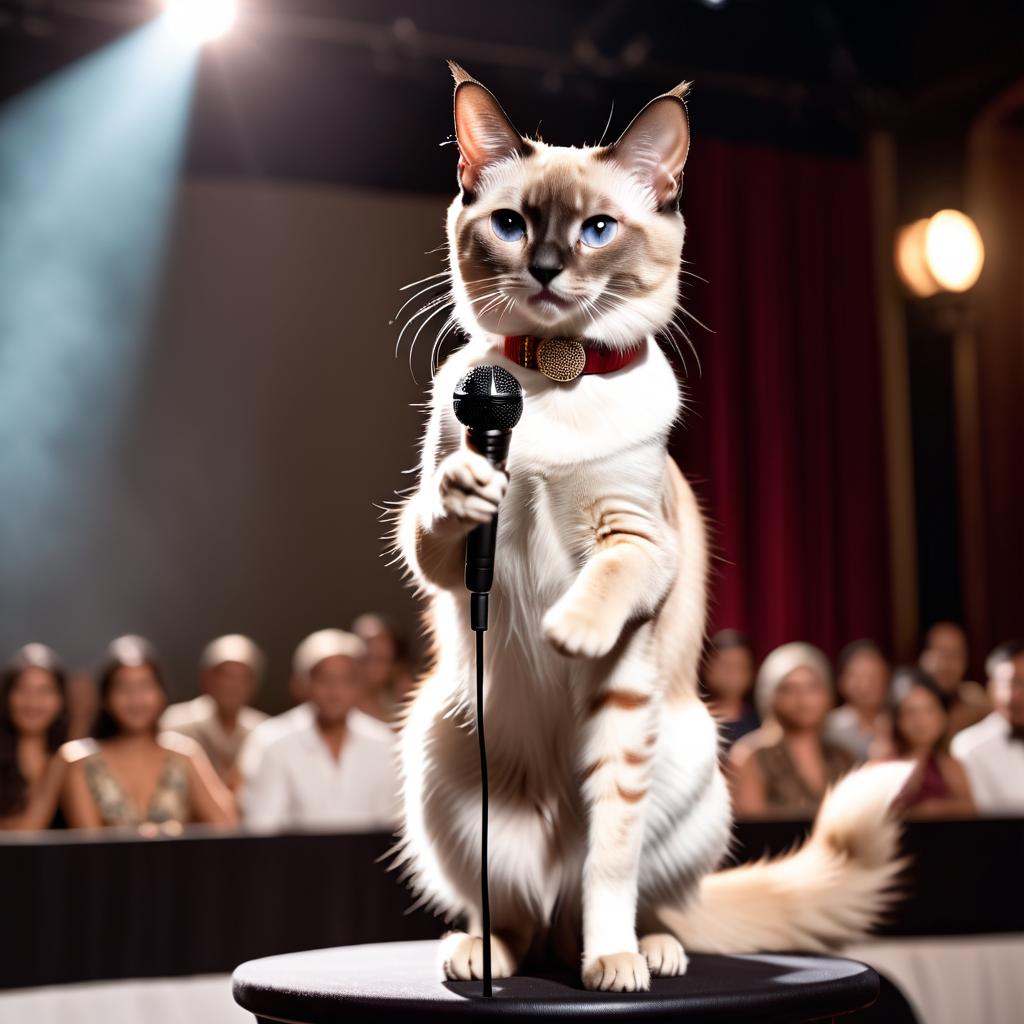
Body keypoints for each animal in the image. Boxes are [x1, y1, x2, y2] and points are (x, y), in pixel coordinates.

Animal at [387, 64, 909, 991]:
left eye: (597, 230)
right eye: (513, 225)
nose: (548, 268)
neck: (555, 381)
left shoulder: (637, 533)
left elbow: (611, 574)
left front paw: (571, 631)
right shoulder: (445, 549)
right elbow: (439, 517)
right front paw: (473, 484)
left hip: (668, 765)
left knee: (620, 890)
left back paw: (636, 954)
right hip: (442, 762)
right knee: (509, 909)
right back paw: (484, 955)